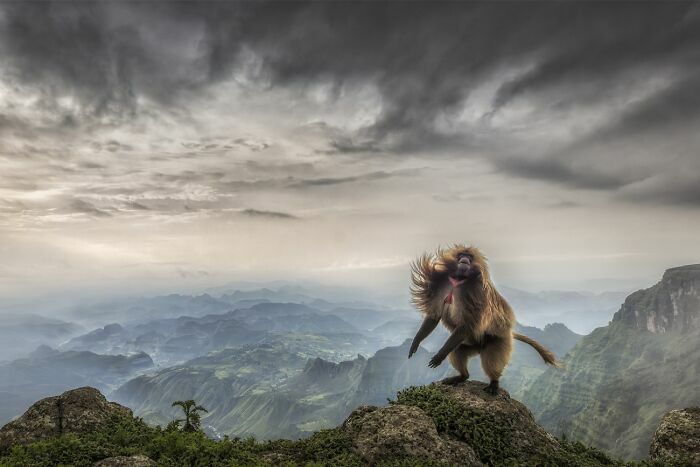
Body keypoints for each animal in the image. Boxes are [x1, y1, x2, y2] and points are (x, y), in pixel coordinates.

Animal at [408, 244, 559, 395]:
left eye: (469, 257)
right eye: (461, 255)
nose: (464, 259)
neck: (458, 279)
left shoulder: (477, 291)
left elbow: (467, 324)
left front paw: (439, 356)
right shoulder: (441, 283)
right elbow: (434, 316)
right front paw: (415, 343)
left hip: (498, 341)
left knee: (491, 359)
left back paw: (494, 382)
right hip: (471, 346)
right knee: (458, 351)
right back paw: (462, 376)